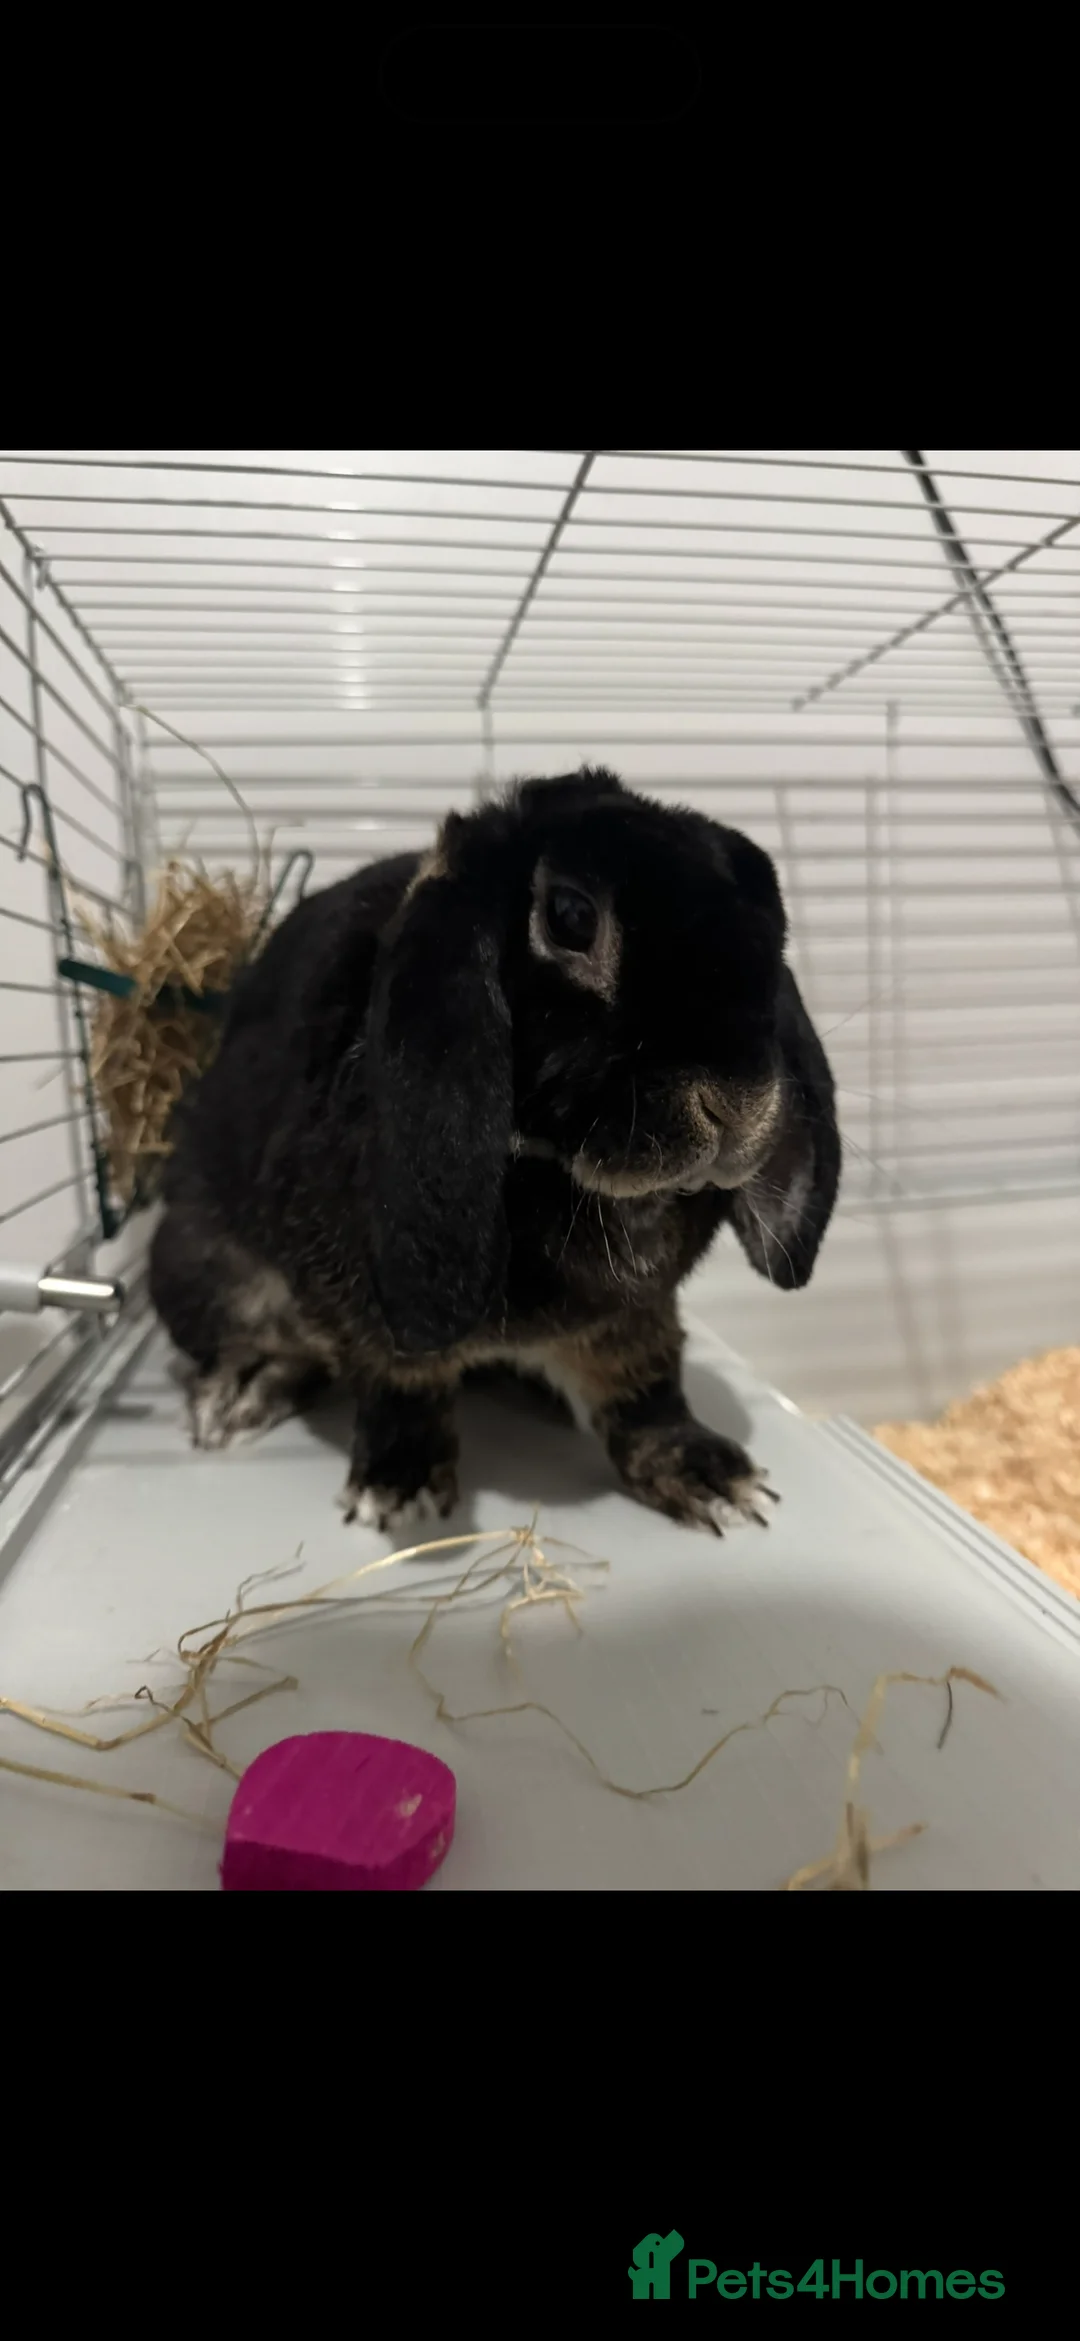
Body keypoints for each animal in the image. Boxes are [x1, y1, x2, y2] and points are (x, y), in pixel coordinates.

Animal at [149, 767, 840, 1535]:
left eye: (769, 927)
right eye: (570, 917)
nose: (737, 1103)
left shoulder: (636, 1315)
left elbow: (646, 1387)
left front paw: (710, 1474)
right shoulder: (367, 1310)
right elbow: (399, 1382)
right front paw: (402, 1488)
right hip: (203, 1265)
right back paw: (239, 1393)